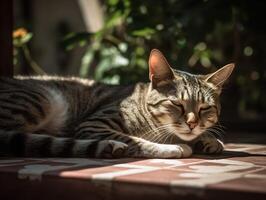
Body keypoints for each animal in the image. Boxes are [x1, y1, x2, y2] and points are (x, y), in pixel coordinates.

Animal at [0, 49, 234, 159]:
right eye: (177, 104)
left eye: (205, 108)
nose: (192, 124)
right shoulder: (93, 124)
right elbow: (135, 139)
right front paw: (173, 147)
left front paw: (207, 140)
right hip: (42, 99)